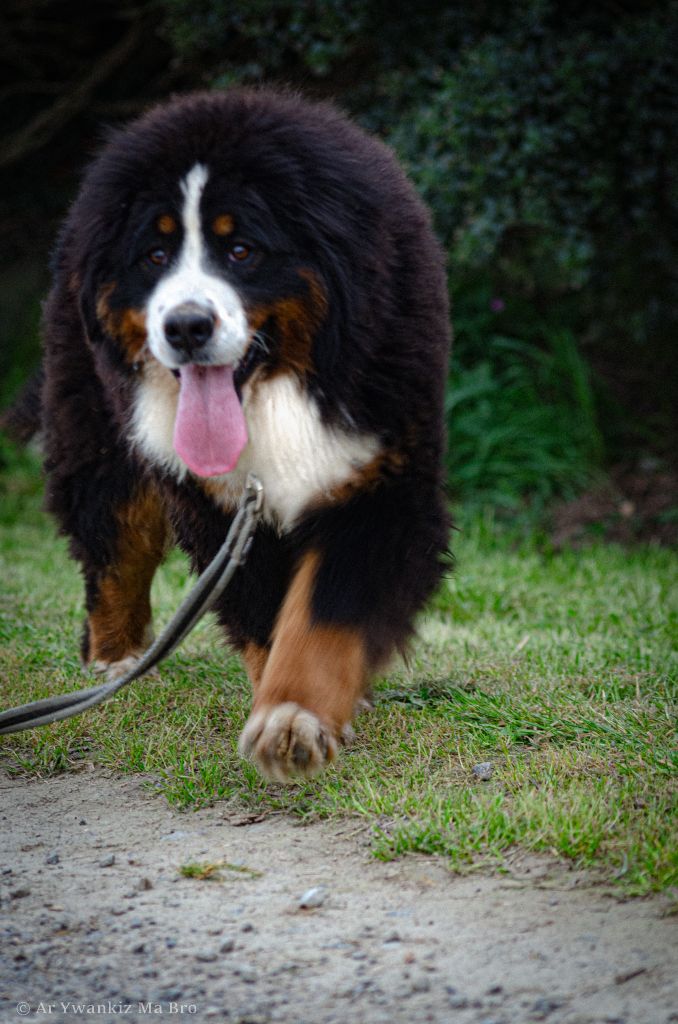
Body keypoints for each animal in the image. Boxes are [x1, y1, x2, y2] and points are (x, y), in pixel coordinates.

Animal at [6, 90, 450, 774]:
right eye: (155, 256)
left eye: (241, 250)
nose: (187, 326)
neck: (272, 393)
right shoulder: (219, 505)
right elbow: (263, 613)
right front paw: (287, 711)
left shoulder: (377, 480)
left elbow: (322, 615)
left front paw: (293, 715)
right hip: (103, 430)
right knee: (114, 548)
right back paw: (116, 660)